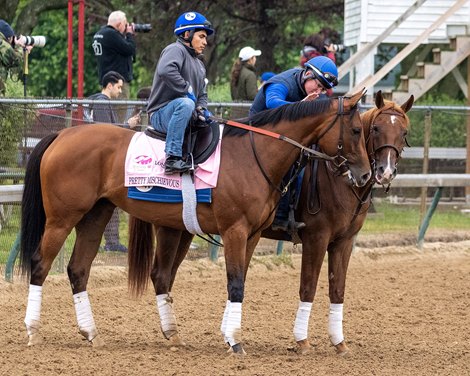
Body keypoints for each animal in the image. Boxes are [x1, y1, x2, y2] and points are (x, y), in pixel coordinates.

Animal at [19, 90, 370, 352]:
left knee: (79, 269)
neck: (255, 154)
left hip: (97, 215)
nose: (366, 175)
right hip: (62, 219)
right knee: (40, 264)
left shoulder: (254, 234)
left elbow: (240, 280)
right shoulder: (235, 231)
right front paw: (235, 340)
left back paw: (92, 333)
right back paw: (33, 330)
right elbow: (235, 282)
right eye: (356, 131)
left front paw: (230, 334)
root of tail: (61, 134)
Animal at [145, 92, 414, 356]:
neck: (338, 181)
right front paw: (301, 340)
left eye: (404, 133)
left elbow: (338, 289)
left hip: (182, 229)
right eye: (374, 129)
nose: (382, 172)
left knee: (164, 275)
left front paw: (339, 342)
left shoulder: (344, 241)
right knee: (162, 275)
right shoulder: (316, 238)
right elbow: (307, 286)